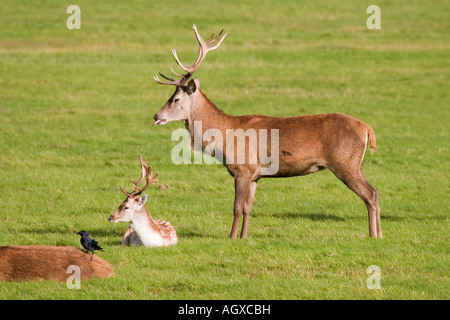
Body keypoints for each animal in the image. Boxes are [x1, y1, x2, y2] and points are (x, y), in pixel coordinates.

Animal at [153, 25, 382, 239]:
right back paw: (379, 234)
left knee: (370, 193)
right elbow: (248, 208)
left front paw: (232, 237)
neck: (224, 135)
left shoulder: (243, 168)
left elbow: (237, 207)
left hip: (345, 162)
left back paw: (373, 234)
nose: (156, 116)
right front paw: (244, 236)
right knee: (375, 192)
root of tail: (366, 128)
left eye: (175, 99)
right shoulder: (255, 175)